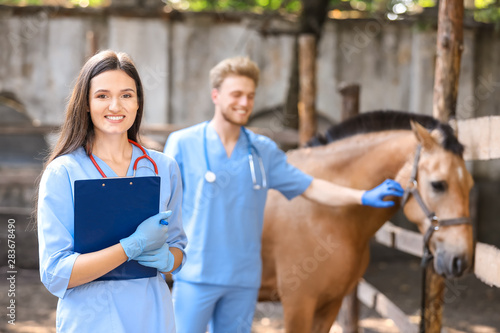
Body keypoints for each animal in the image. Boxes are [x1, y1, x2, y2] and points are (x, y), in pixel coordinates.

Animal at [260, 110, 474, 330]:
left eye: (470, 185)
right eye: (438, 184)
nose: (461, 260)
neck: (326, 208)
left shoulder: (331, 303)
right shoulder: (298, 305)